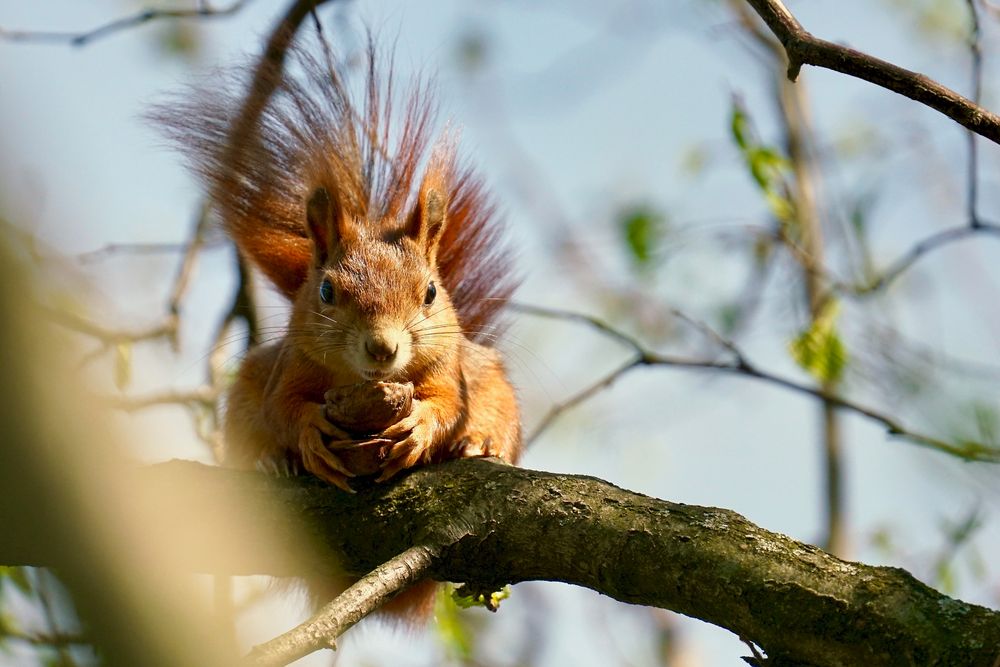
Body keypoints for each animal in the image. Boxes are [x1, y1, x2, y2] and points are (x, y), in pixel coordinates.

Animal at [156, 43, 524, 616]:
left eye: (430, 293)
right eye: (326, 291)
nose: (382, 348)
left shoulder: (450, 374)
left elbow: (446, 405)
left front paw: (422, 426)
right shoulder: (292, 367)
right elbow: (283, 408)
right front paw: (308, 432)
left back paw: (478, 444)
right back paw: (269, 462)